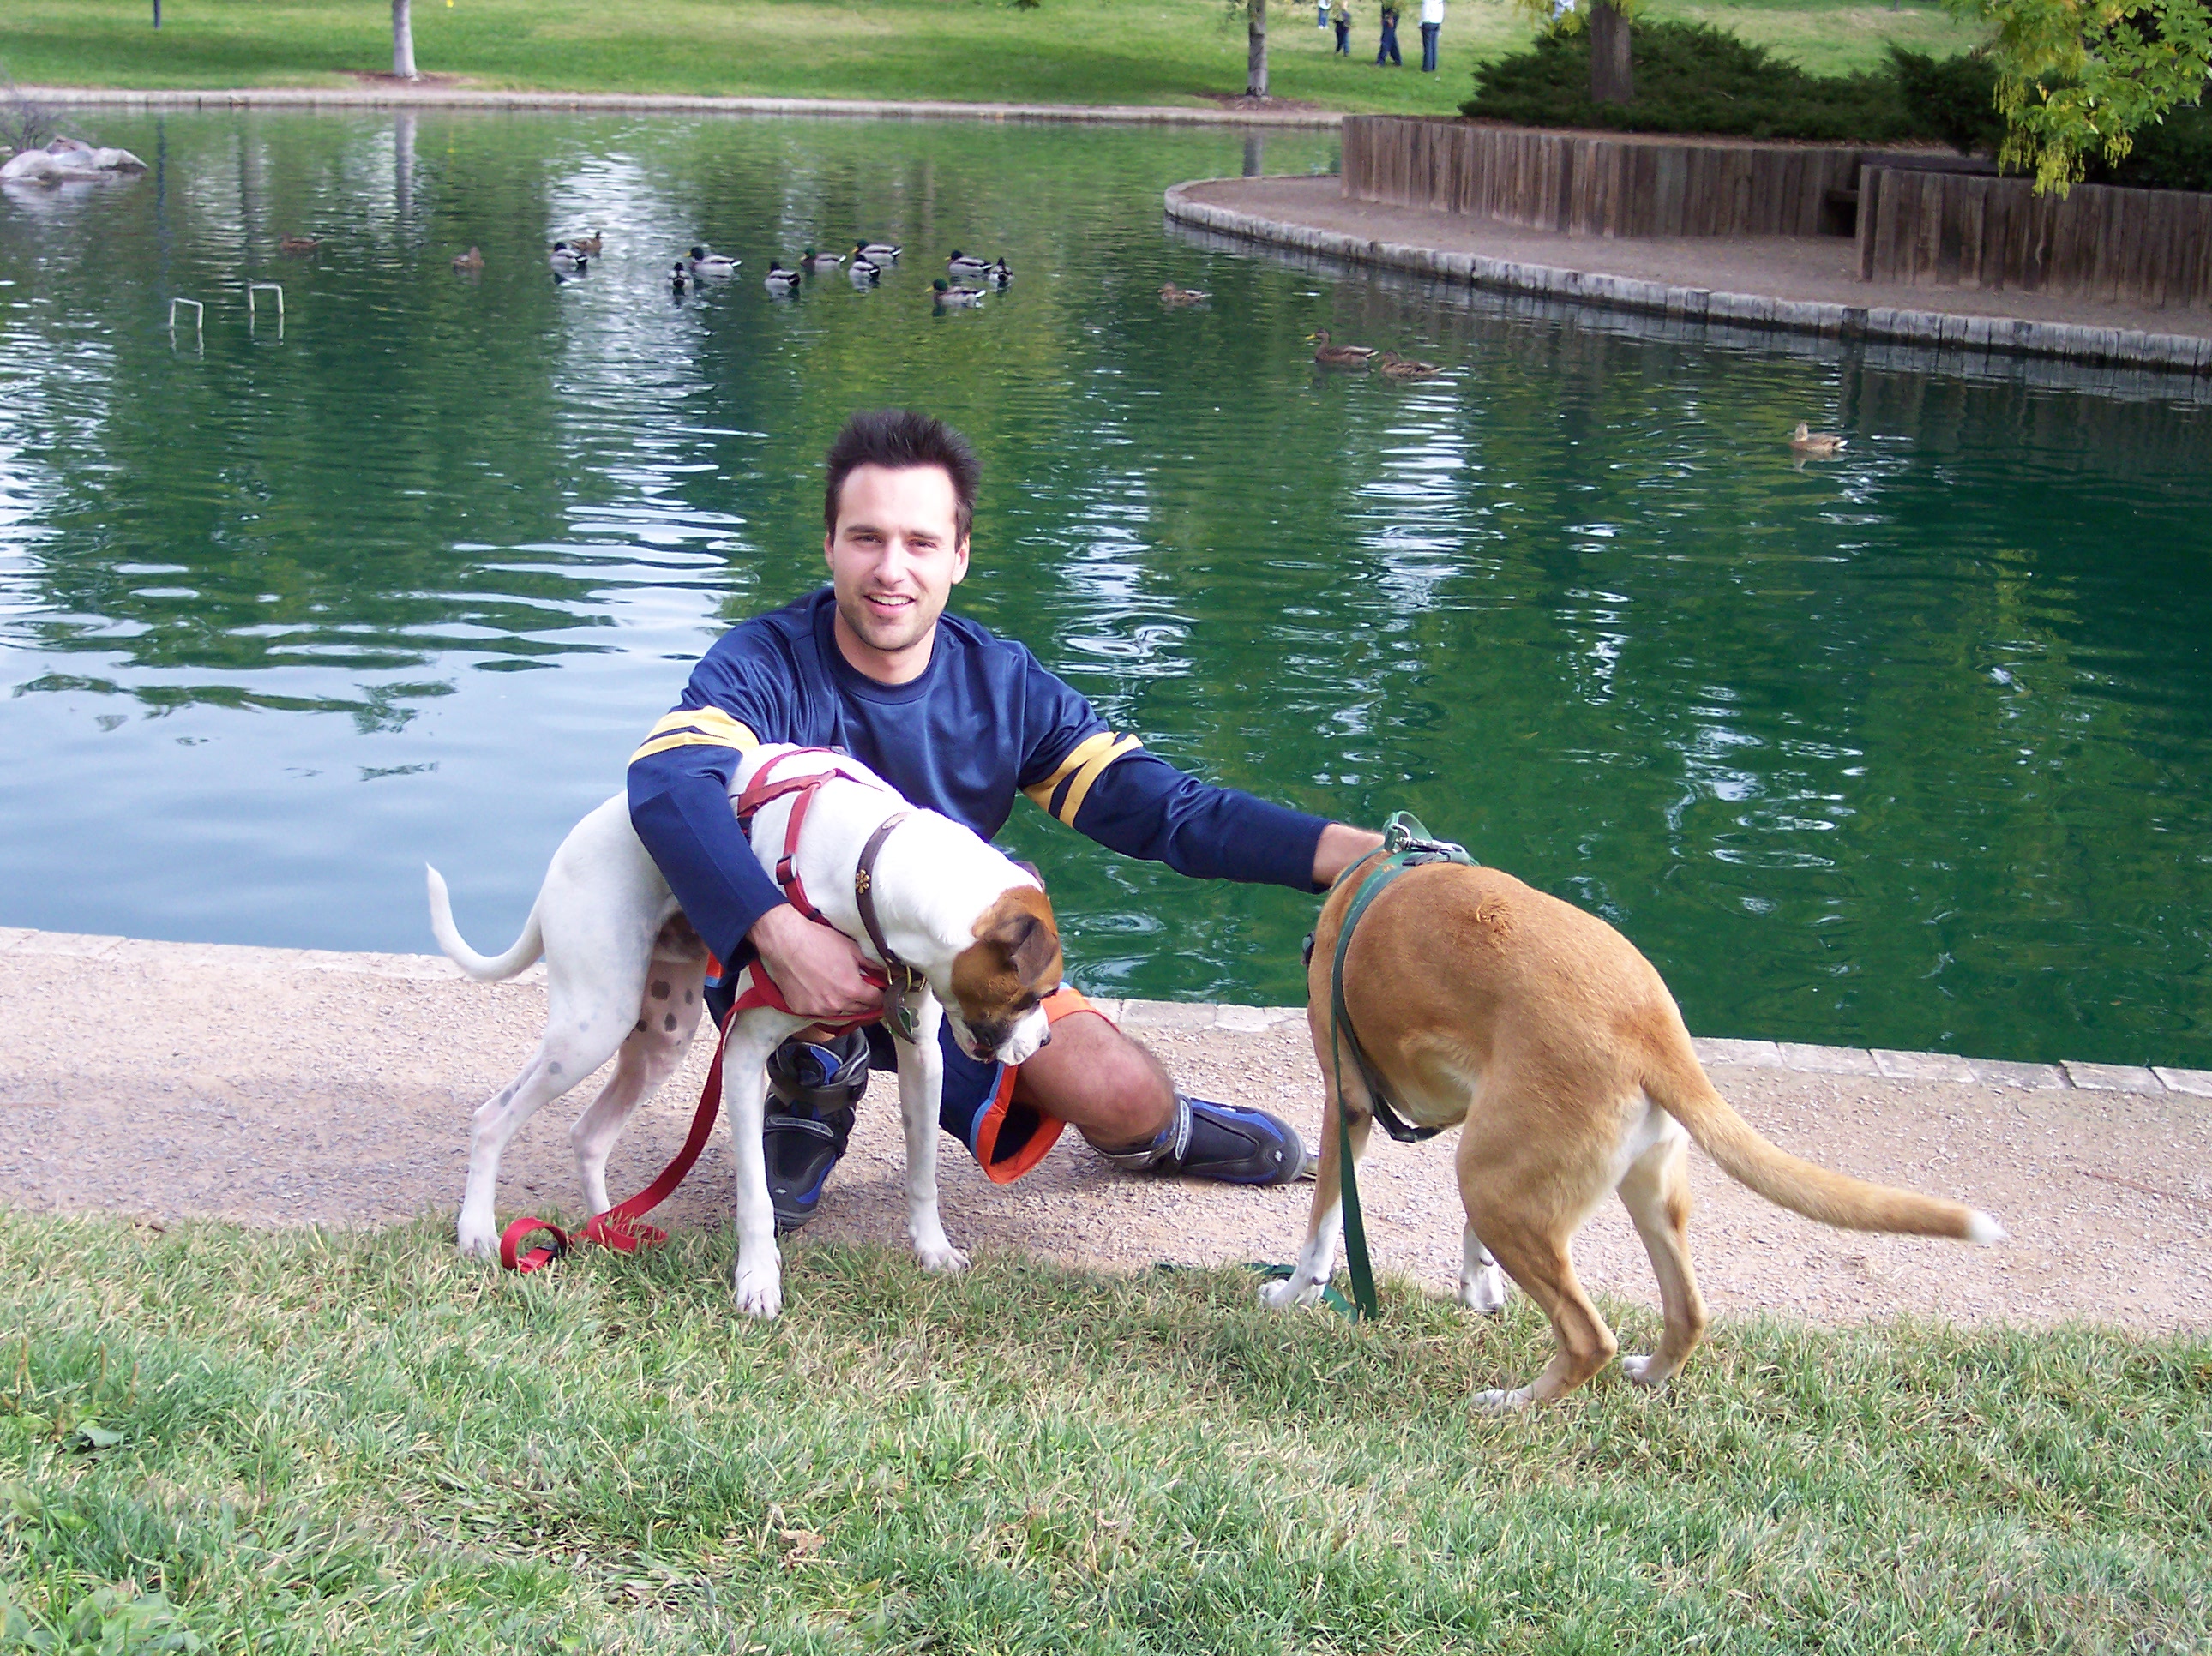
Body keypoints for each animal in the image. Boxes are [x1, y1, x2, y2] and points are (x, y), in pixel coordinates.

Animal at [427, 744, 1062, 1316]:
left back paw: (607, 1231)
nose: (1046, 1042)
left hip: (658, 1040)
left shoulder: (922, 1058)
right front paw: (758, 1282)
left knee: (589, 1134)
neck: (869, 867)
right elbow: (755, 1198)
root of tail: (569, 849)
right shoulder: (742, 1056)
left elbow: (923, 1170)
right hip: (591, 1026)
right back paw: (478, 1232)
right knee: (492, 1120)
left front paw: (932, 1249)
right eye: (1037, 995)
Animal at [1263, 857, 2003, 1406]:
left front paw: (1293, 1295)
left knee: (1588, 1337)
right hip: (1623, 1191)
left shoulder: (1347, 1105)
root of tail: (1649, 1026)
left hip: (1493, 1185)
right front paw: (1480, 1285)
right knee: (1688, 1313)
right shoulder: (1485, 1118)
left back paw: (1514, 1405)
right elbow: (1467, 1241)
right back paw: (1648, 1375)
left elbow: (1321, 1232)